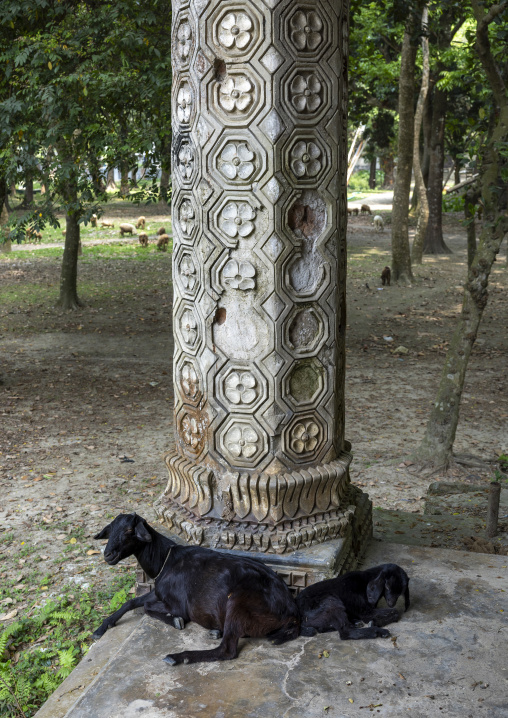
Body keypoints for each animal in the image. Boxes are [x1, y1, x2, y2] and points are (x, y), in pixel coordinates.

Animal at [93, 513, 300, 665]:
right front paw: (102, 627)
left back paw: (178, 657)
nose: (108, 555)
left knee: (227, 650)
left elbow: (147, 608)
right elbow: (132, 602)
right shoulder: (158, 591)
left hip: (239, 603)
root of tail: (291, 609)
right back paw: (215, 632)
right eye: (110, 530)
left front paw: (176, 620)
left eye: (129, 530)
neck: (165, 560)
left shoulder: (178, 604)